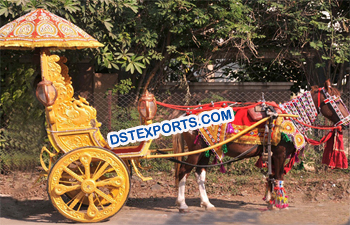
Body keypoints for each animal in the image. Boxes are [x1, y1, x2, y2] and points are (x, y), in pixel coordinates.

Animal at [173, 80, 350, 212]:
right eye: (337, 101)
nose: (347, 122)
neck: (287, 117)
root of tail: (186, 115)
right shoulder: (280, 154)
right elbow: (279, 177)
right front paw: (280, 204)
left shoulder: (272, 155)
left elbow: (272, 177)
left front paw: (271, 202)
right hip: (196, 151)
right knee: (184, 172)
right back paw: (182, 204)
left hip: (207, 151)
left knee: (200, 174)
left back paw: (207, 203)